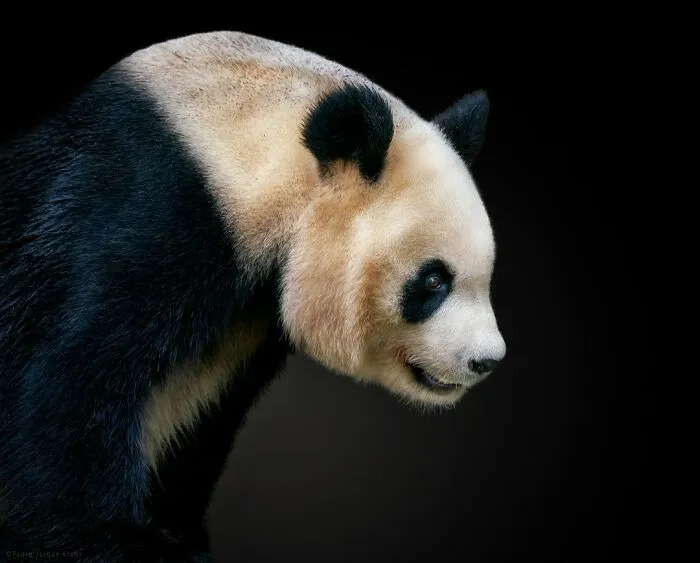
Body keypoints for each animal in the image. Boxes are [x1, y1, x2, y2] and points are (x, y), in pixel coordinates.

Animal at [0, 31, 506, 561]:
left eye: (485, 276)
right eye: (433, 281)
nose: (486, 360)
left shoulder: (248, 317)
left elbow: (201, 415)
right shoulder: (153, 209)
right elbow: (77, 369)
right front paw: (111, 535)